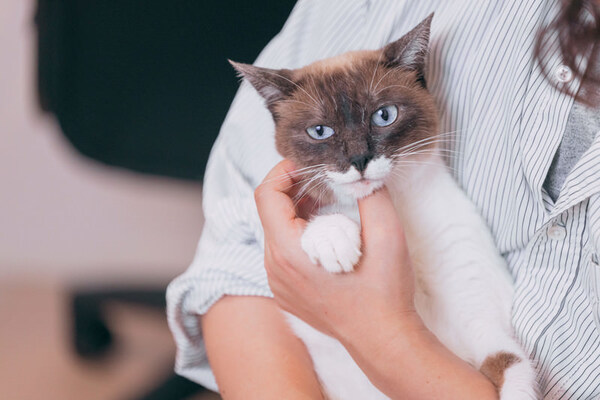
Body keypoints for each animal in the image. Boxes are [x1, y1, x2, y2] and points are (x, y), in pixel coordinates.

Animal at [231, 14, 540, 400]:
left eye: (384, 116)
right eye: (320, 131)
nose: (359, 159)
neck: (400, 208)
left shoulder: (478, 311)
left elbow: (509, 361)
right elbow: (327, 213)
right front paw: (334, 241)